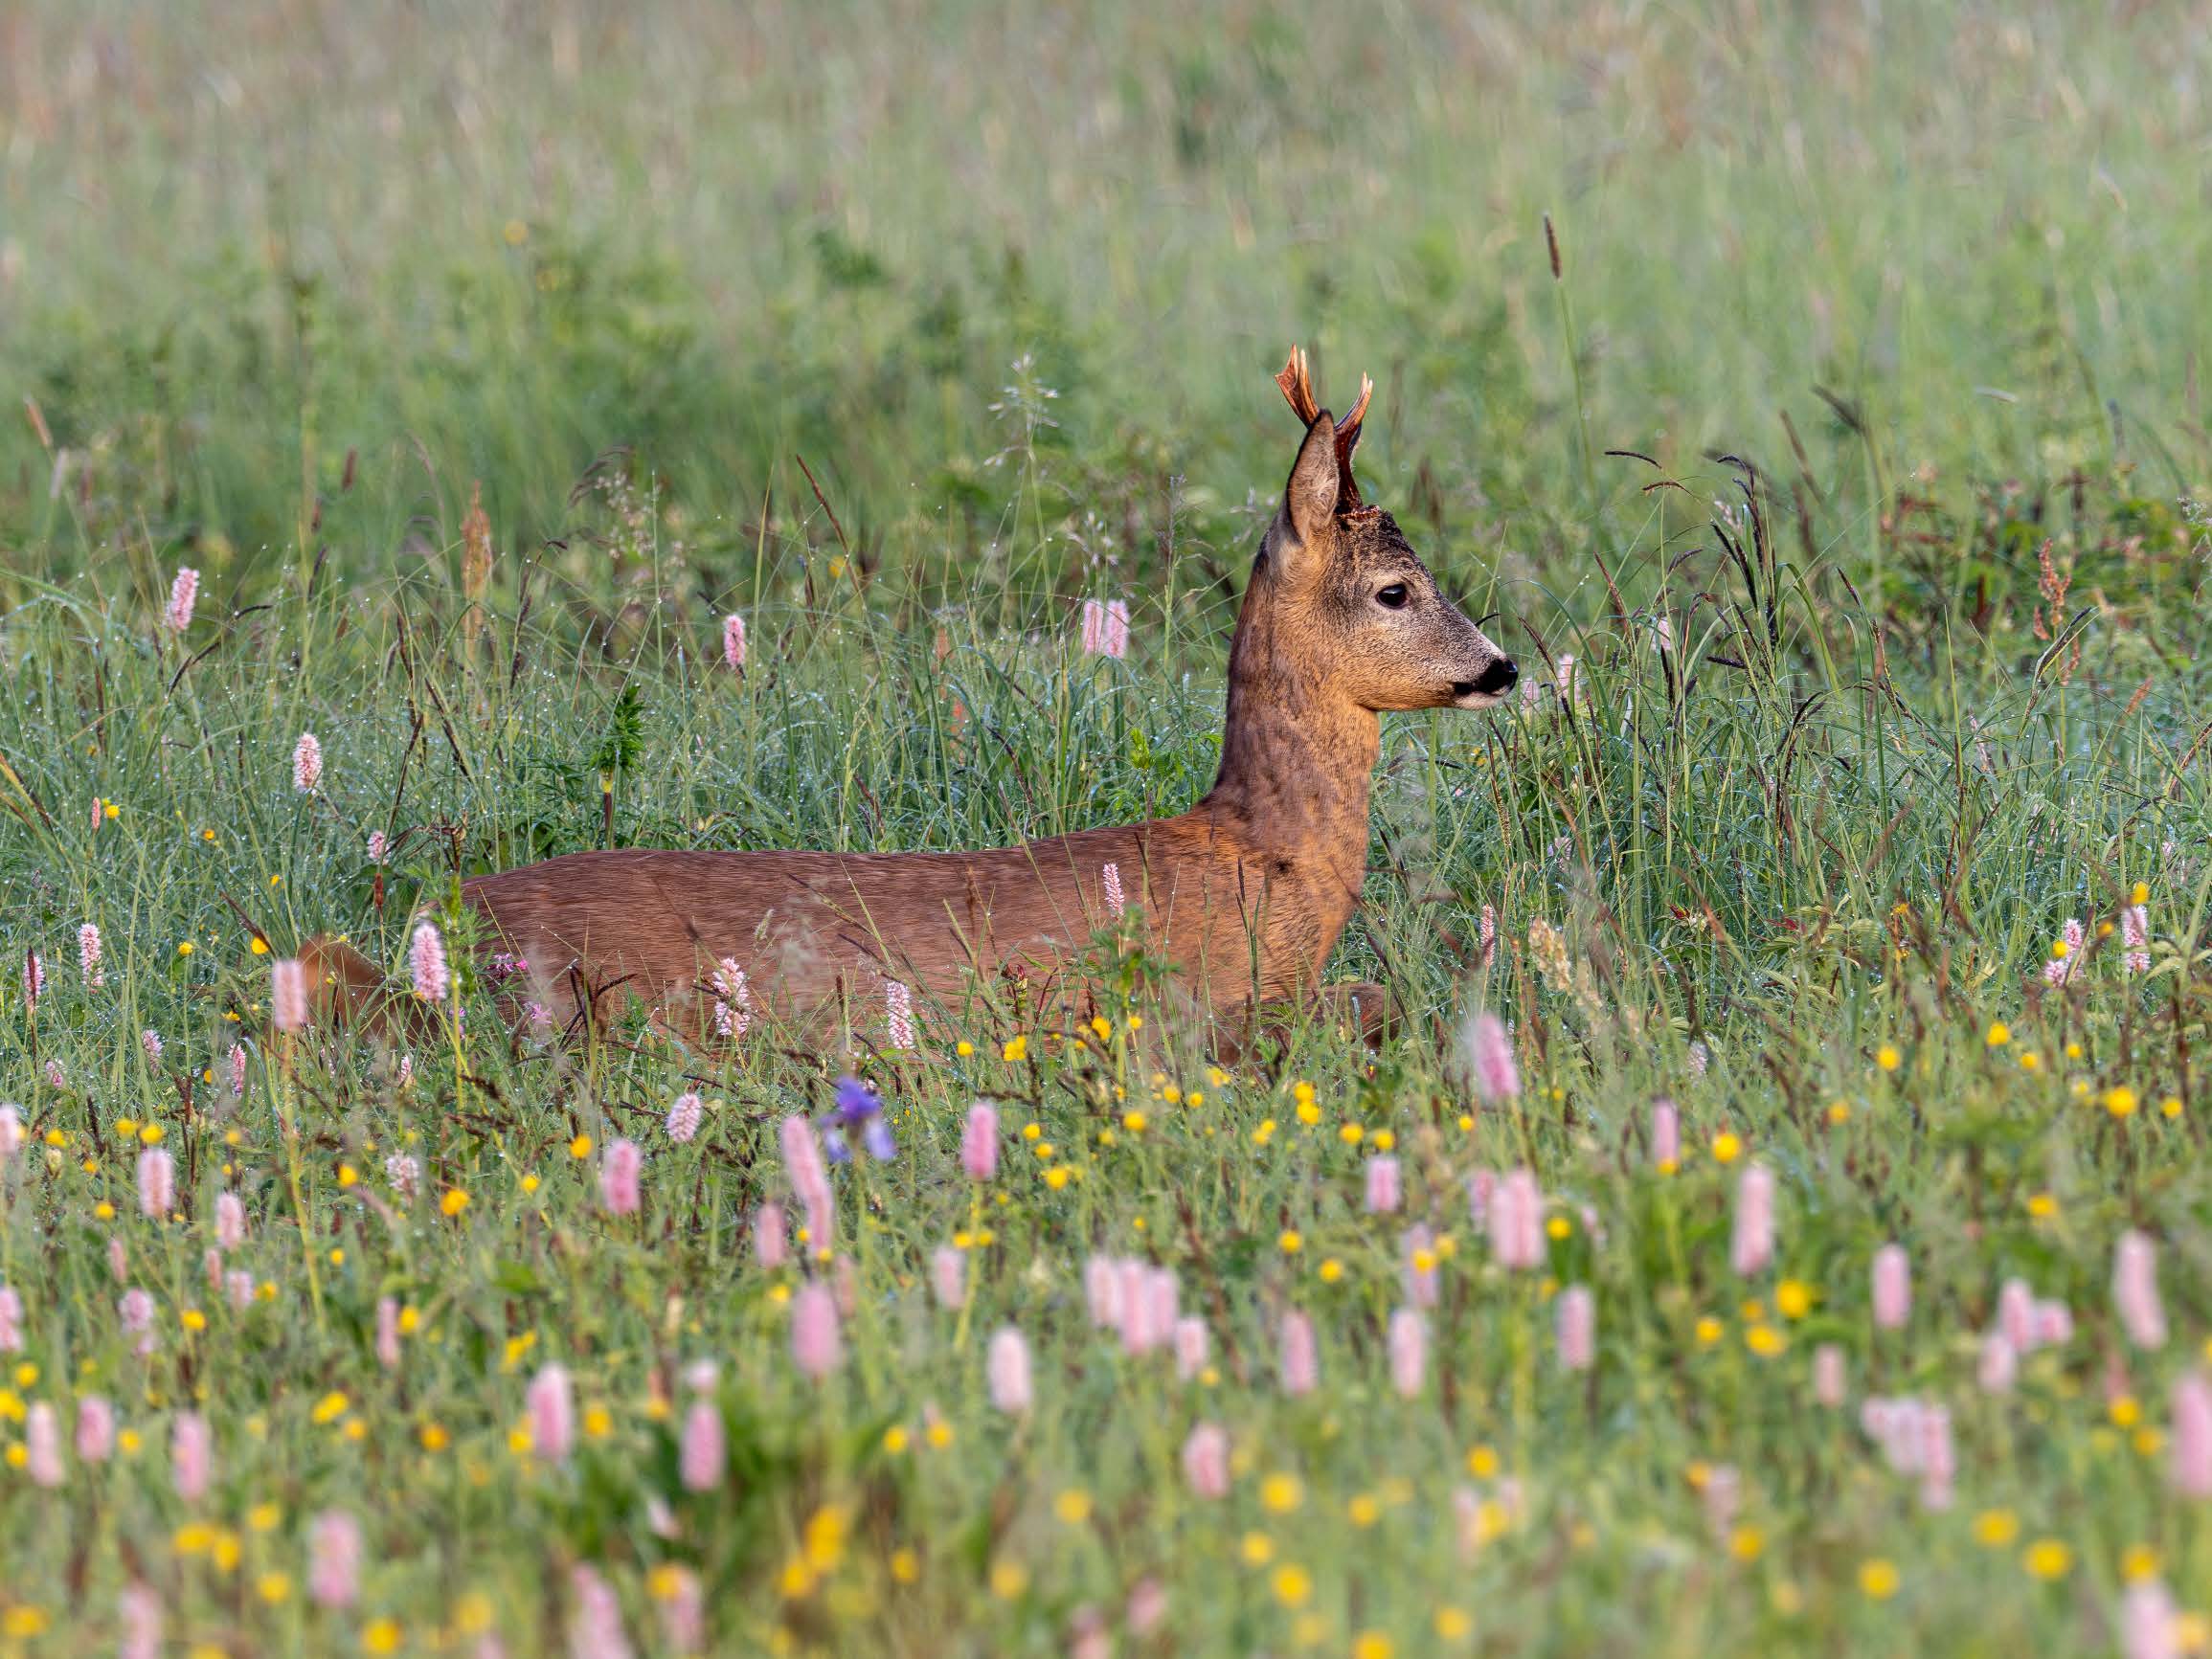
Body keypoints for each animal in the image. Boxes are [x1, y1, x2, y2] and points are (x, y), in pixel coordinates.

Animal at [307, 351, 1522, 1052]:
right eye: (1397, 589)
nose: (1503, 666)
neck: (1260, 856)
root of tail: (431, 923)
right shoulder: (1197, 1008)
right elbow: (1371, 1002)